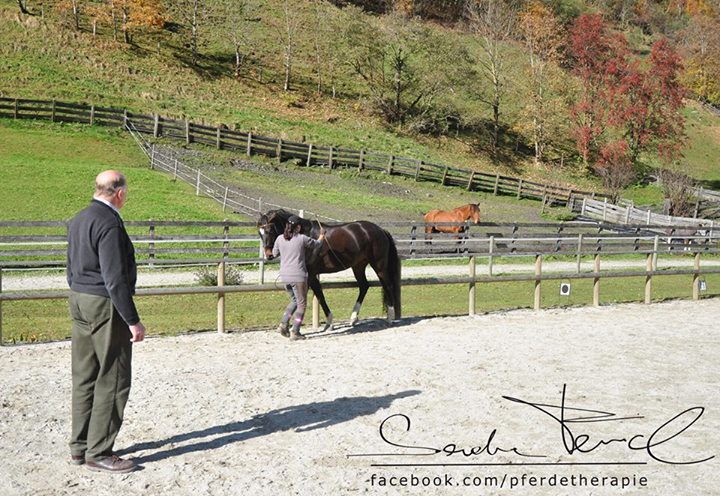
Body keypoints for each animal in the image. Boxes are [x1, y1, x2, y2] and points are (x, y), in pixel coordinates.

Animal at [256, 207, 402, 332]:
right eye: (259, 232)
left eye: (270, 230)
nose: (269, 255)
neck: (305, 235)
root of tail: (381, 230)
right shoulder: (311, 275)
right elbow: (316, 295)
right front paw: (328, 323)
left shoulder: (310, 274)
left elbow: (310, 296)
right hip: (358, 266)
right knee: (364, 286)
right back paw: (353, 318)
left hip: (379, 265)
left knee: (387, 285)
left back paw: (390, 317)